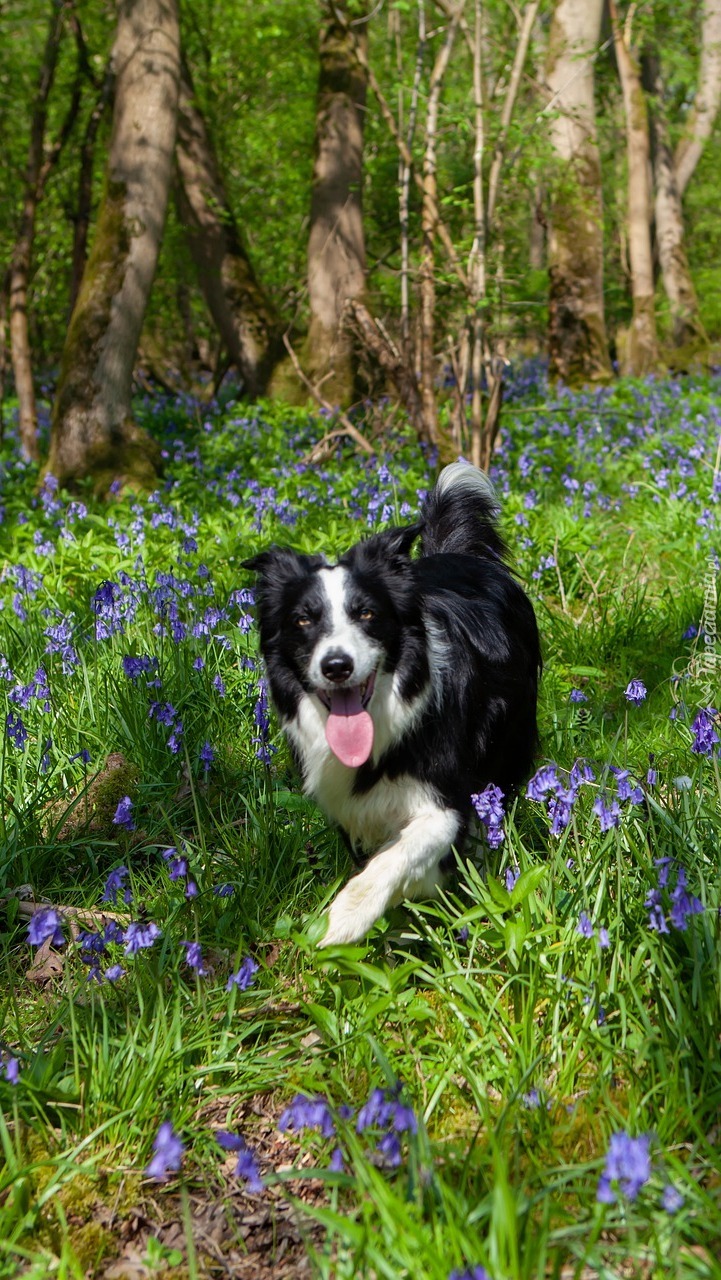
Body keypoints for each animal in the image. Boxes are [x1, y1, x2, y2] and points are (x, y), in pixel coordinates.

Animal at [244, 465, 542, 947]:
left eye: (366, 613)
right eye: (303, 620)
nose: (337, 666)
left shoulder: (445, 800)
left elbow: (399, 855)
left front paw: (345, 918)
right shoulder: (347, 807)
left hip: (508, 742)